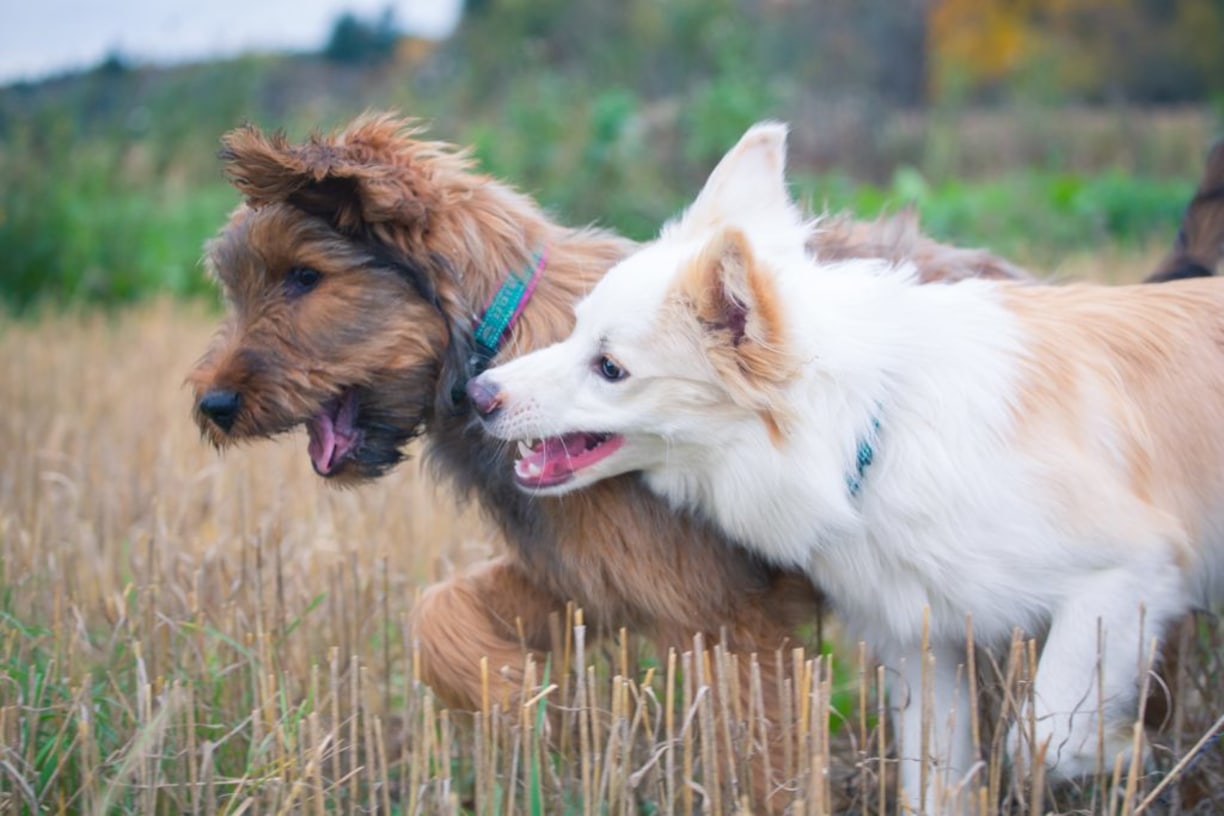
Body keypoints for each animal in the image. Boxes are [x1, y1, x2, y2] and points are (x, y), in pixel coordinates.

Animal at [188, 114, 1033, 812]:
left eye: (305, 277)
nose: (211, 405)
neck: (498, 339)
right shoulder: (585, 572)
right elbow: (438, 612)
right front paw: (512, 699)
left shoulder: (733, 618)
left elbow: (761, 755)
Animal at [467, 121, 1224, 812]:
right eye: (573, 330)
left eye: (610, 367)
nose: (476, 394)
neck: (871, 430)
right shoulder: (924, 643)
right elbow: (933, 784)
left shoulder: (1130, 573)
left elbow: (1043, 737)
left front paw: (1126, 752)